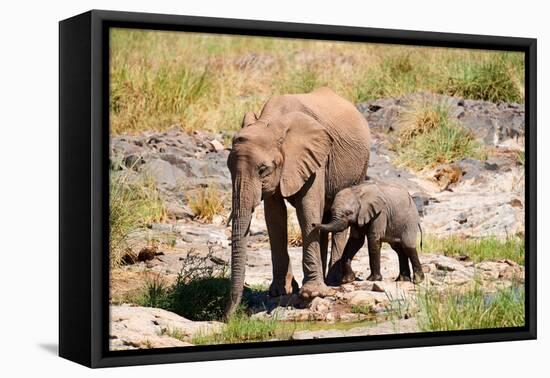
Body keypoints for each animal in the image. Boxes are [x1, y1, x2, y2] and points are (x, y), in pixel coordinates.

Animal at [226, 88, 374, 316]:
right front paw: (280, 291)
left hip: (359, 167)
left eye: (263, 169)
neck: (271, 121)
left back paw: (334, 280)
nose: (228, 316)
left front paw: (311, 293)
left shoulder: (315, 157)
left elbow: (307, 209)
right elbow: (274, 217)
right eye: (228, 168)